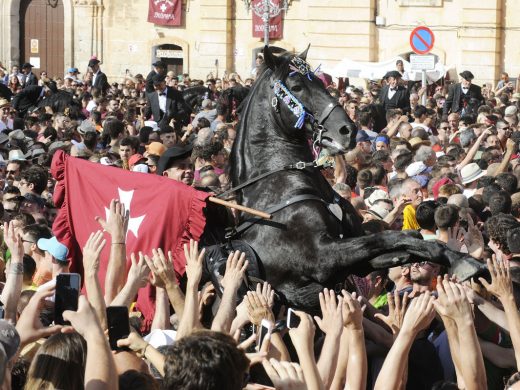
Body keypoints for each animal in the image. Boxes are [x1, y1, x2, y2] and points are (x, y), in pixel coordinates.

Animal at [225, 45, 486, 312]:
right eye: (296, 86)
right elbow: (394, 236)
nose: (348, 130)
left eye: (320, 81)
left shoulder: (356, 261)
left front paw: (459, 258)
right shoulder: (322, 258)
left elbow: (403, 245)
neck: (281, 184)